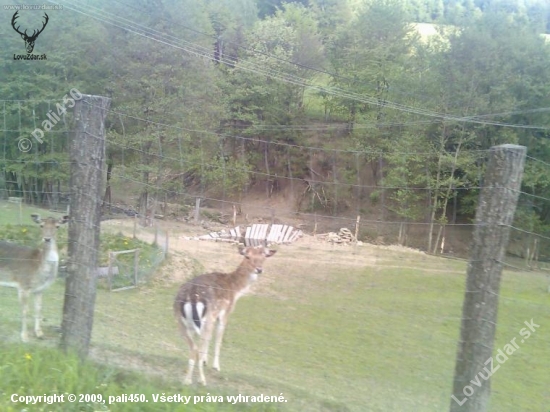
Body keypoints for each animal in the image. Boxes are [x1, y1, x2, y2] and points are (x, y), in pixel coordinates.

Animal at [0, 212, 68, 342]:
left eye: (57, 226)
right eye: (41, 225)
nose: (47, 238)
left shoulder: (40, 289)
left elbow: (39, 308)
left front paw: (40, 334)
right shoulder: (23, 286)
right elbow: (25, 310)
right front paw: (25, 337)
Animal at [175, 243, 278, 384]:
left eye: (264, 257)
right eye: (247, 256)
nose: (259, 269)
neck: (235, 290)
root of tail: (191, 296)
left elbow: (210, 339)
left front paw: (206, 362)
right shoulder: (224, 313)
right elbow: (219, 339)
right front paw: (216, 366)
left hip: (180, 321)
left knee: (194, 348)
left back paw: (187, 380)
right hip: (206, 318)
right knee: (198, 348)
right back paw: (202, 380)